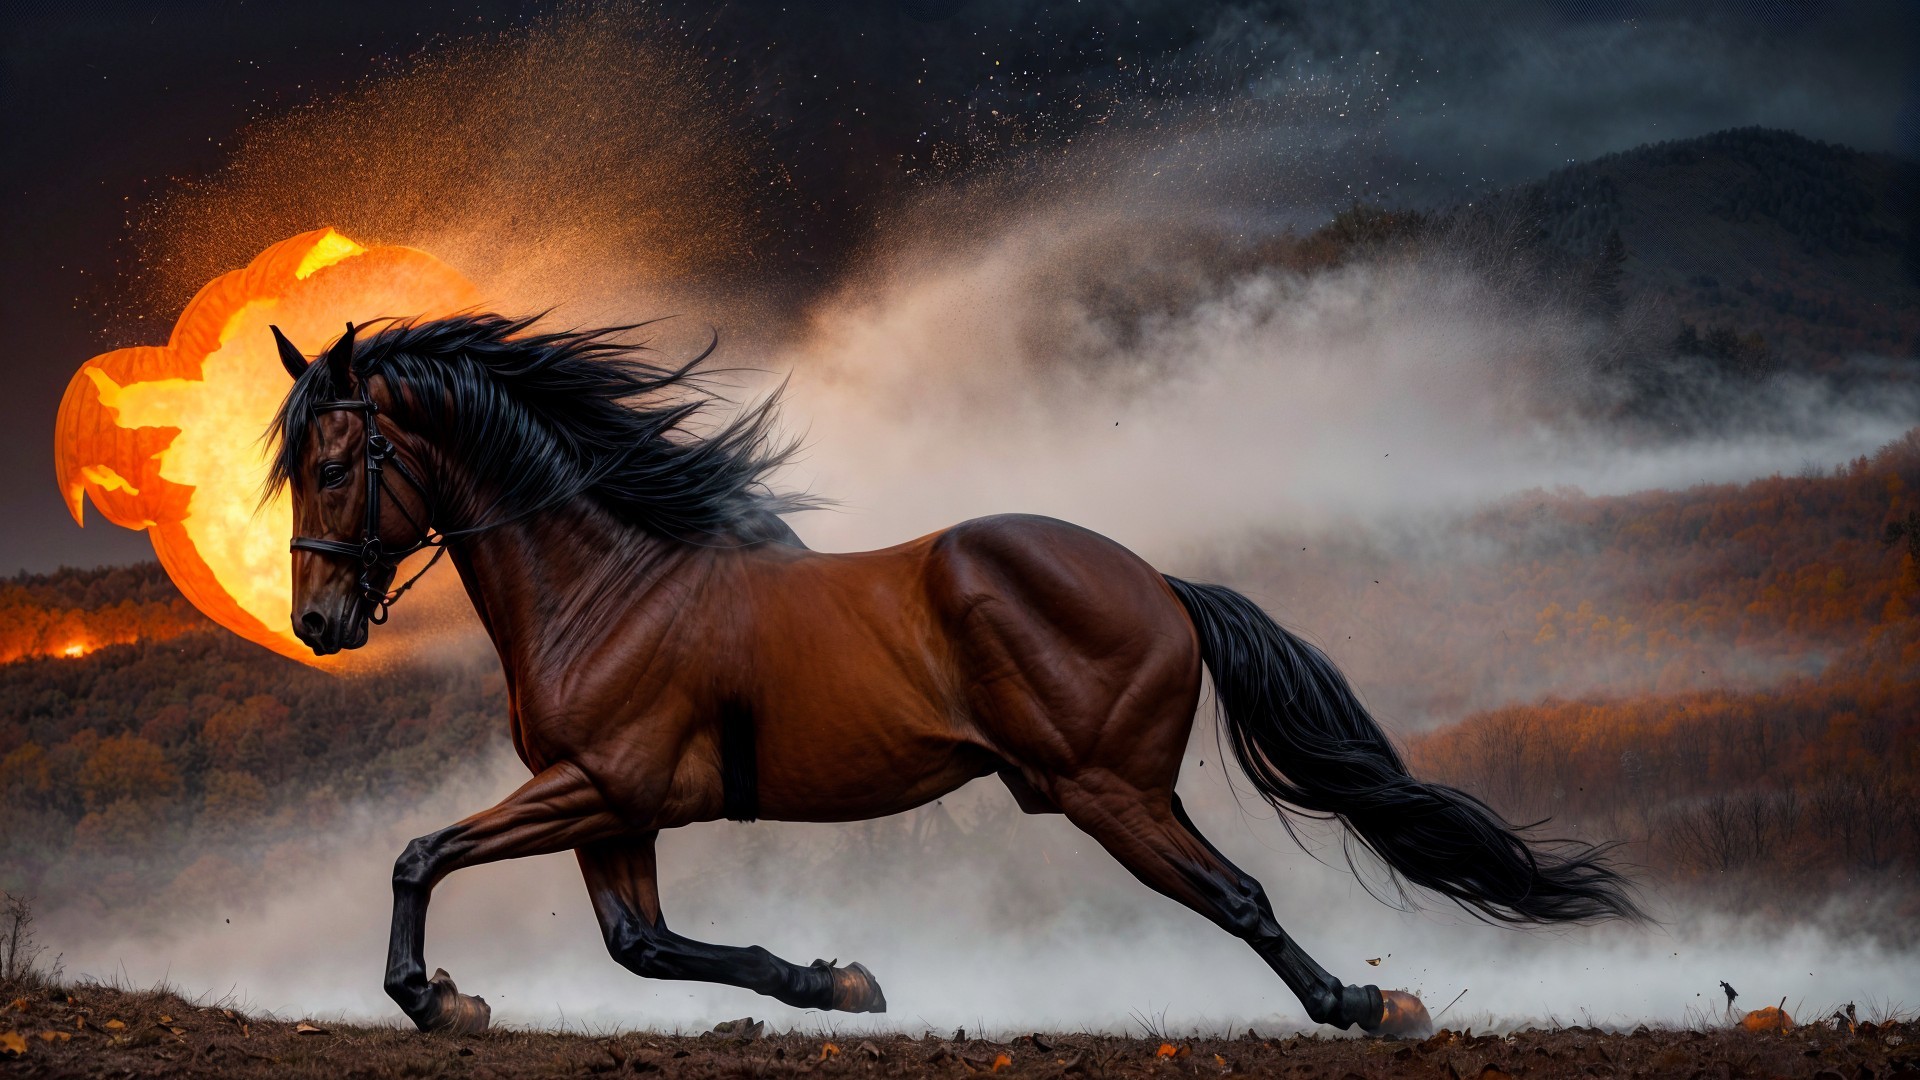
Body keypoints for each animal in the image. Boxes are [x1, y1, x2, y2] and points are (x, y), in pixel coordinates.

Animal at [265, 313, 1641, 1038]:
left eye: (335, 465)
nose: (321, 622)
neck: (606, 582)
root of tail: (1159, 582)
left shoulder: (596, 784)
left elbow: (419, 855)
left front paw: (430, 997)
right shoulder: (614, 807)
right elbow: (640, 945)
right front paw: (832, 980)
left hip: (1105, 790)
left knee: (1238, 895)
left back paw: (1362, 1005)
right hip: (1114, 790)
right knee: (1234, 890)